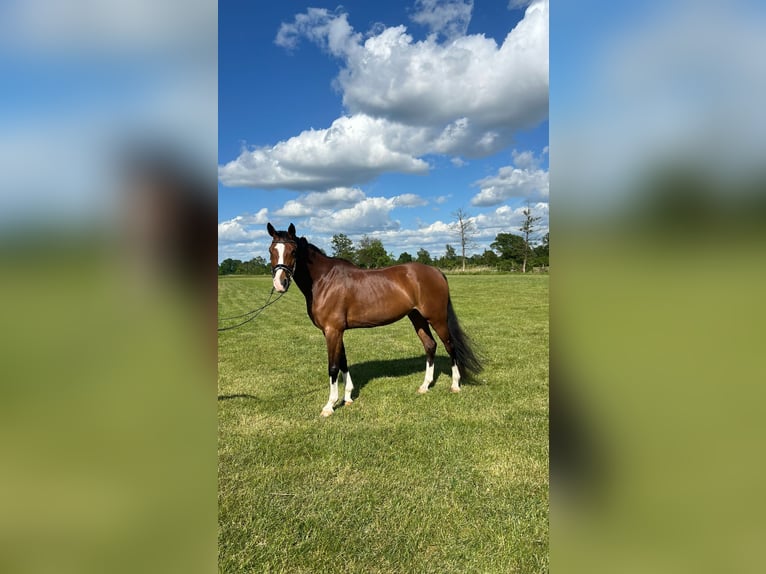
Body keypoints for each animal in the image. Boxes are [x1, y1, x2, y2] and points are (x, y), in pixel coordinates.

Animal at [267, 222, 483, 417]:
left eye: (294, 251)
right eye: (271, 251)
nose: (280, 283)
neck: (323, 280)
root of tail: (435, 271)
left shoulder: (332, 331)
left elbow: (333, 367)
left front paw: (329, 406)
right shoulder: (336, 331)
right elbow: (343, 361)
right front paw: (348, 398)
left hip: (436, 318)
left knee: (450, 345)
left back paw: (455, 385)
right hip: (417, 318)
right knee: (430, 345)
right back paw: (424, 386)